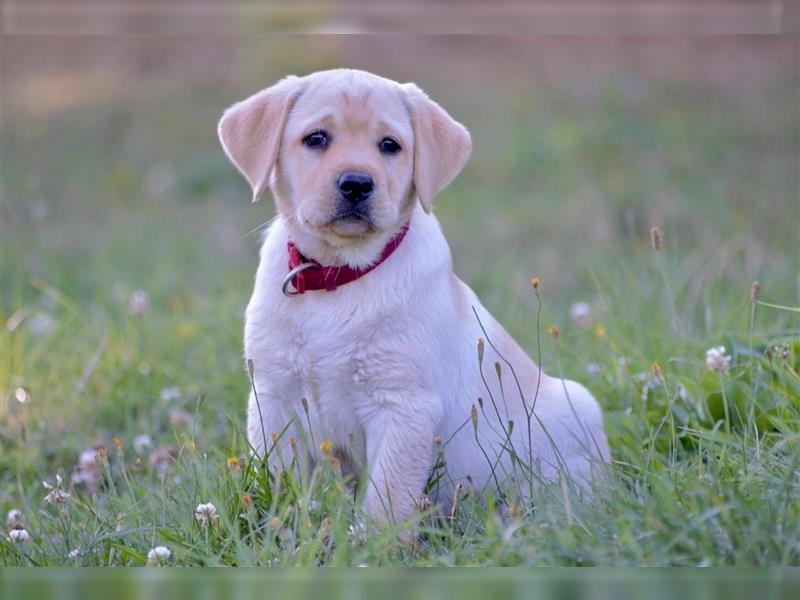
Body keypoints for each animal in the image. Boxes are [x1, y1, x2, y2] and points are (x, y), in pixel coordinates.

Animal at [217, 68, 608, 524]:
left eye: (390, 145)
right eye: (316, 138)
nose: (356, 183)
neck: (338, 274)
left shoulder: (403, 405)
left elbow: (385, 499)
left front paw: (373, 541)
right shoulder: (273, 395)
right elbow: (279, 479)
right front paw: (280, 527)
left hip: (576, 412)